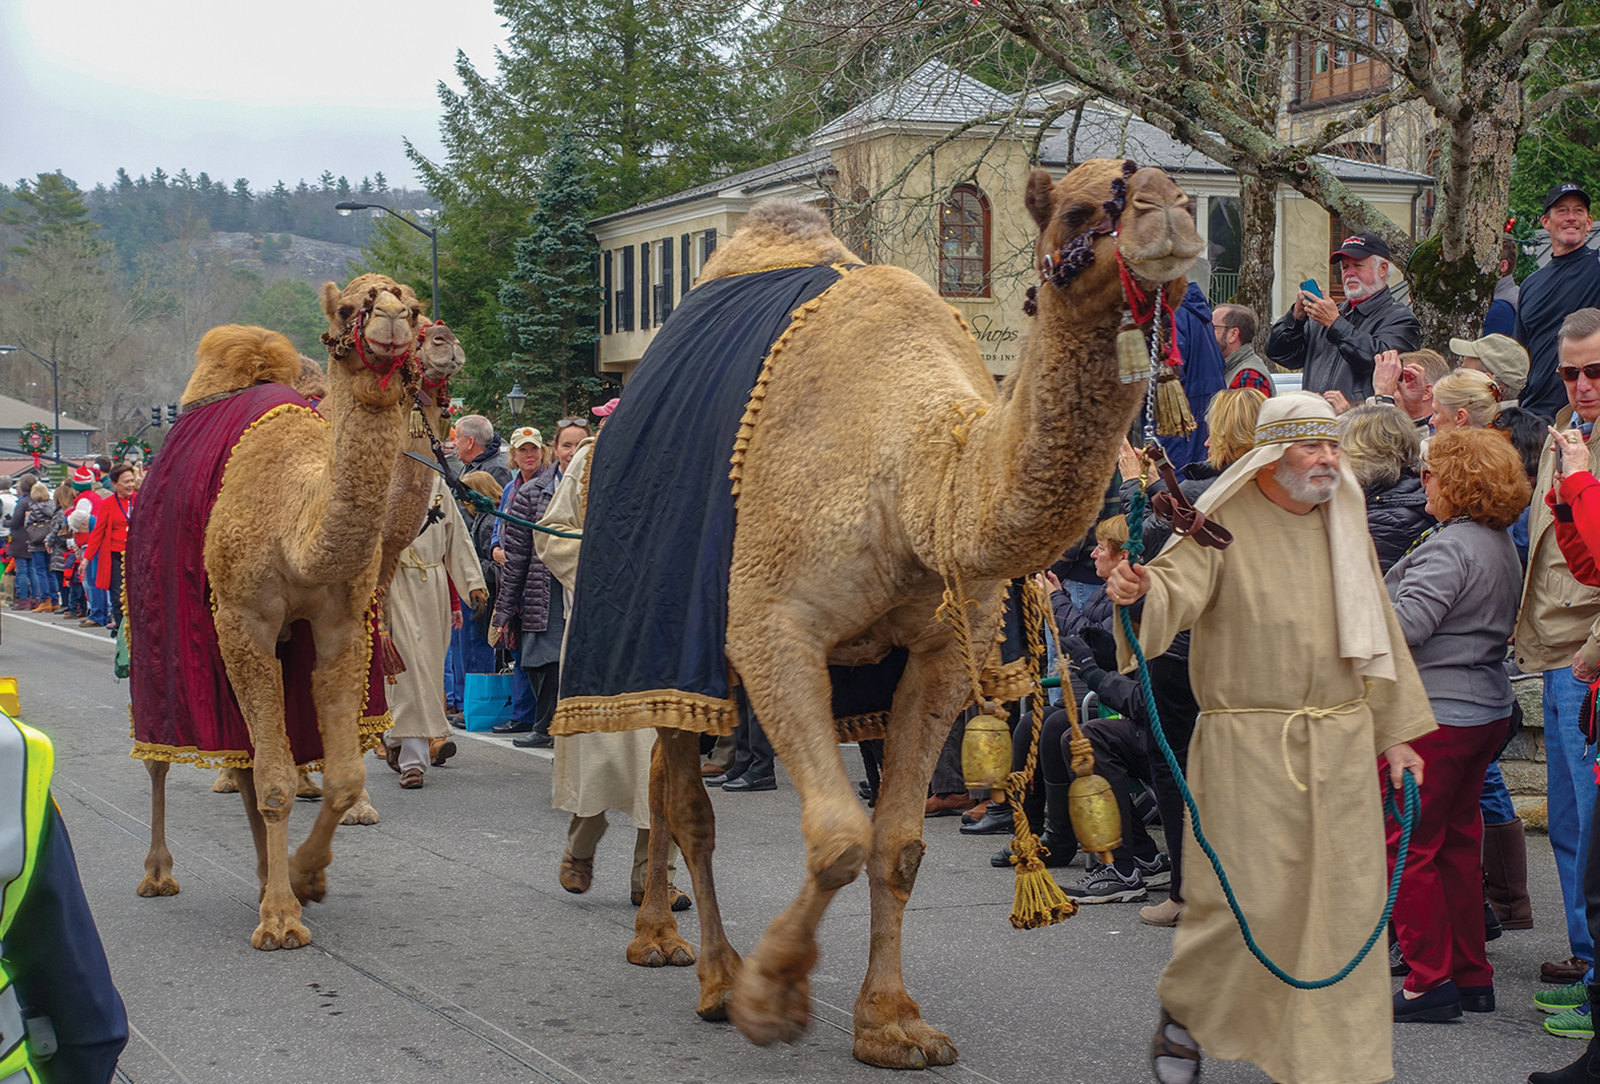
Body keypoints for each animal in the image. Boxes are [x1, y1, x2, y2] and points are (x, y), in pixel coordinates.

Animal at [136, 271, 422, 952]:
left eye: (417, 306)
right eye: (349, 309)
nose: (391, 319)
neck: (299, 525)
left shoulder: (339, 625)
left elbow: (340, 778)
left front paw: (303, 877)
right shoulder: (244, 621)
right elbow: (274, 781)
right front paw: (280, 921)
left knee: (242, 758)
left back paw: (269, 872)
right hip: (155, 625)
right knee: (159, 753)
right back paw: (158, 874)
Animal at [624, 161, 1203, 1068]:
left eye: (1171, 183)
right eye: (1080, 208)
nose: (1167, 216)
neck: (920, 481)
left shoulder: (939, 654)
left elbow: (895, 844)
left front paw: (892, 1023)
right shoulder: (771, 627)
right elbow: (838, 837)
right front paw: (770, 995)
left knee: (664, 780)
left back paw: (665, 936)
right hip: (679, 652)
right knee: (684, 798)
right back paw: (705, 971)